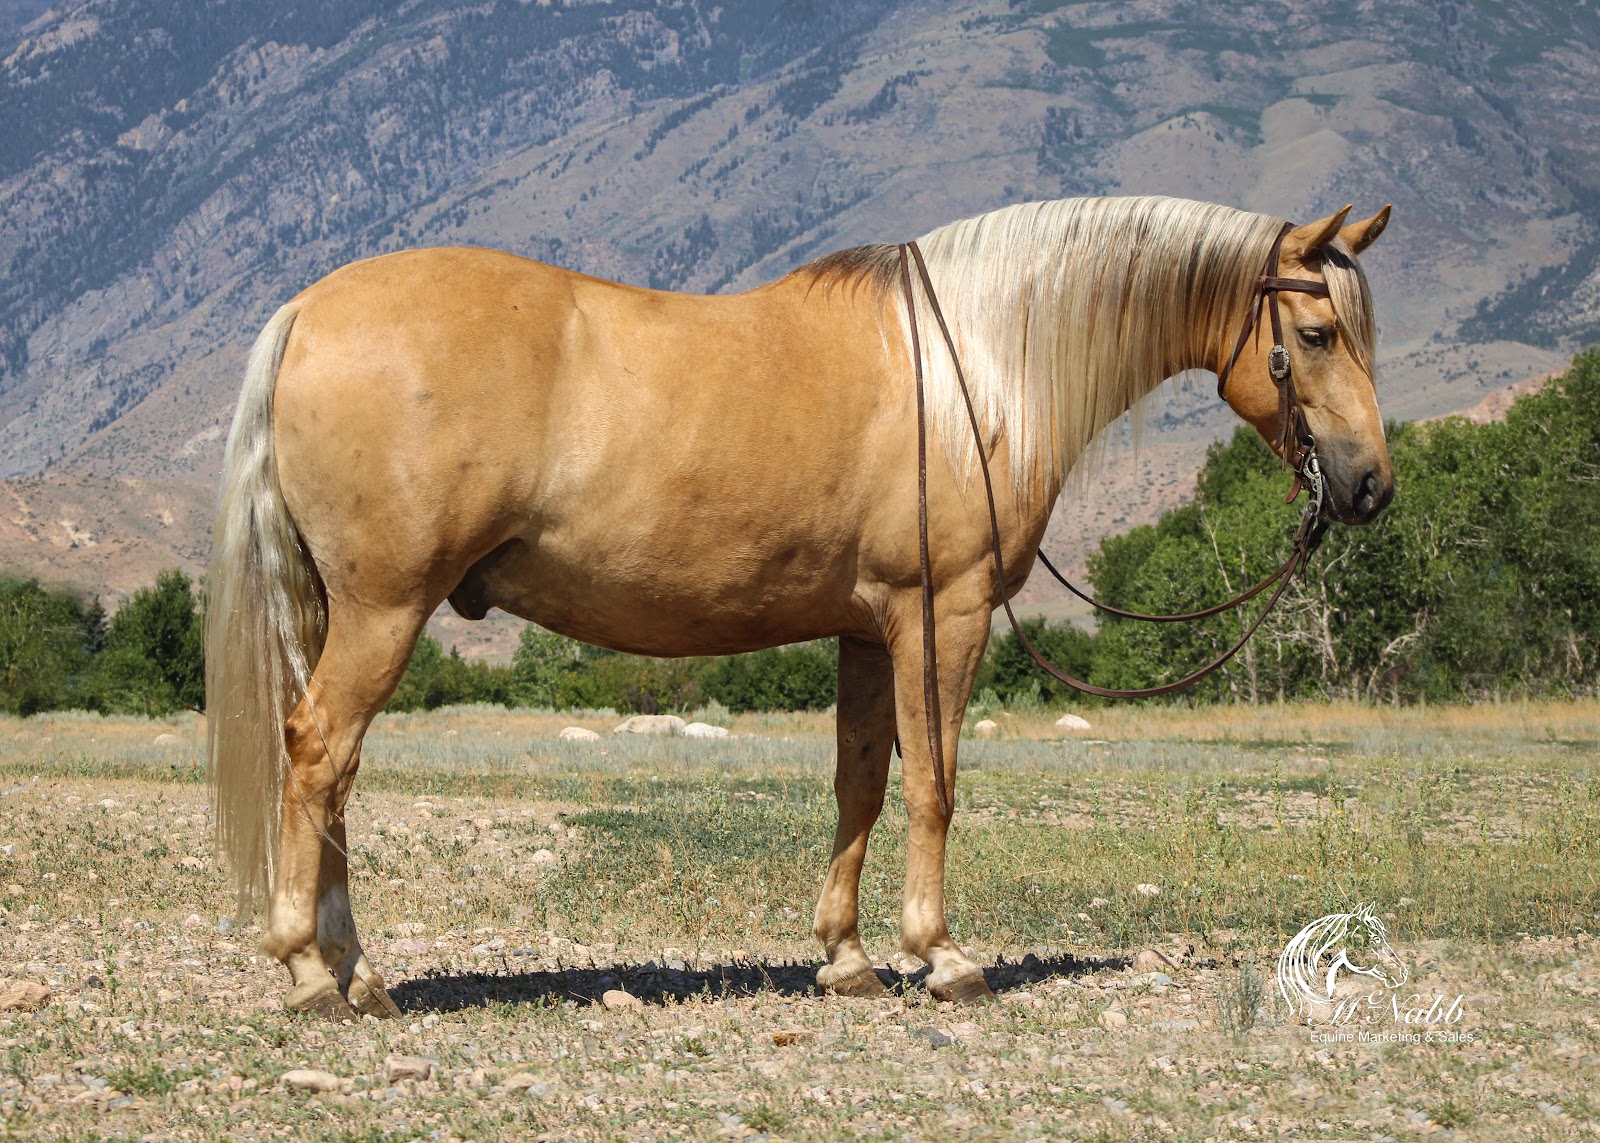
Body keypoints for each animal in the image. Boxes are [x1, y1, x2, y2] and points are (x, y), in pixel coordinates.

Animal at [206, 194, 1395, 1018]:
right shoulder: (943, 615)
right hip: (383, 609)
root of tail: (307, 311)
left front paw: (849, 959)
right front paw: (942, 957)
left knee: (336, 772)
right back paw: (311, 973)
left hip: (348, 613)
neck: (977, 368)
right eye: (1318, 335)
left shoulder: (869, 630)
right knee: (319, 752)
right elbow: (935, 785)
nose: (1370, 485)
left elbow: (860, 785)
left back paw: (358, 973)